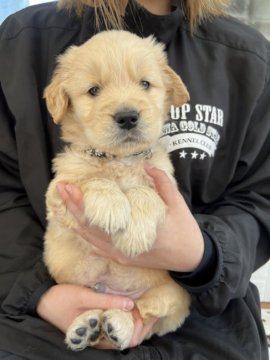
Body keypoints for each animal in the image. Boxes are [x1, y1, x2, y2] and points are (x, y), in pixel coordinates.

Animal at [43, 31, 190, 352]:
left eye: (145, 84)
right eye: (94, 90)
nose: (127, 117)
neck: (119, 160)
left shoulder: (166, 183)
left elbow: (145, 192)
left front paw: (134, 234)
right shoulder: (58, 189)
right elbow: (92, 178)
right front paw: (110, 206)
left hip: (174, 294)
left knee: (139, 313)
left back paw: (117, 326)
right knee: (103, 307)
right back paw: (85, 327)